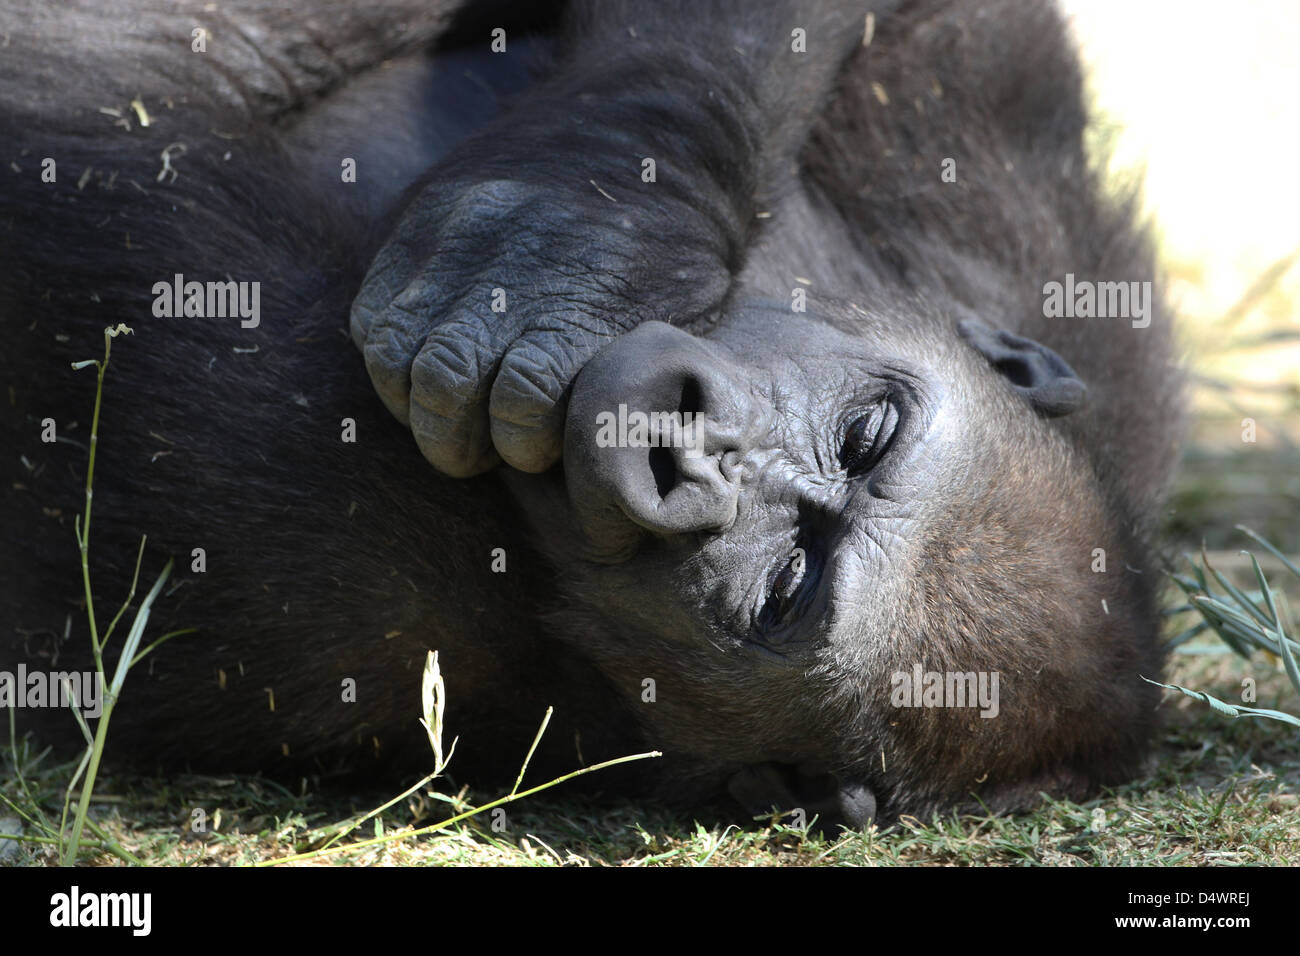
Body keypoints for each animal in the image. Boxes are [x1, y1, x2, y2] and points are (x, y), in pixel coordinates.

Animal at [0, 0, 1180, 832]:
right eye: (867, 438)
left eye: (788, 588)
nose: (685, 448)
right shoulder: (1002, 210)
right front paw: (591, 218)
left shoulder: (358, 574)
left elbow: (91, 115)